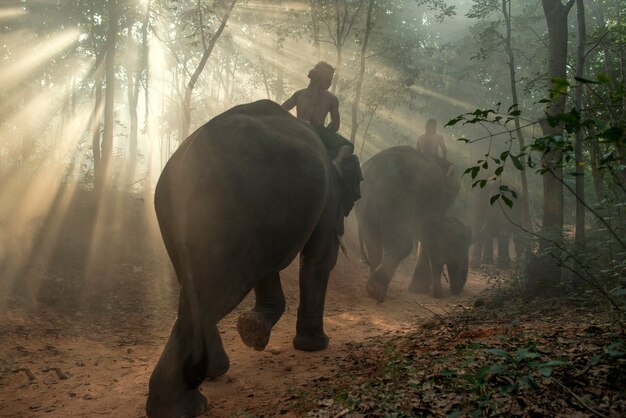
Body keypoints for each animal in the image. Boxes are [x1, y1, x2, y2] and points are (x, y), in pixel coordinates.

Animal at [145, 100, 356, 418]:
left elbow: (270, 269)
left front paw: (253, 328)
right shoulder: (328, 192)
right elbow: (320, 258)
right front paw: (316, 346)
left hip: (176, 216)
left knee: (196, 290)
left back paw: (211, 374)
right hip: (228, 212)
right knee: (216, 293)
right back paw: (186, 406)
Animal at [354, 147, 460, 300]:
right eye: (455, 190)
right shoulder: (434, 201)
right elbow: (431, 235)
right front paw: (437, 293)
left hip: (367, 203)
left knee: (373, 240)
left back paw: (373, 288)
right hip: (400, 203)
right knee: (402, 244)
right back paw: (377, 290)